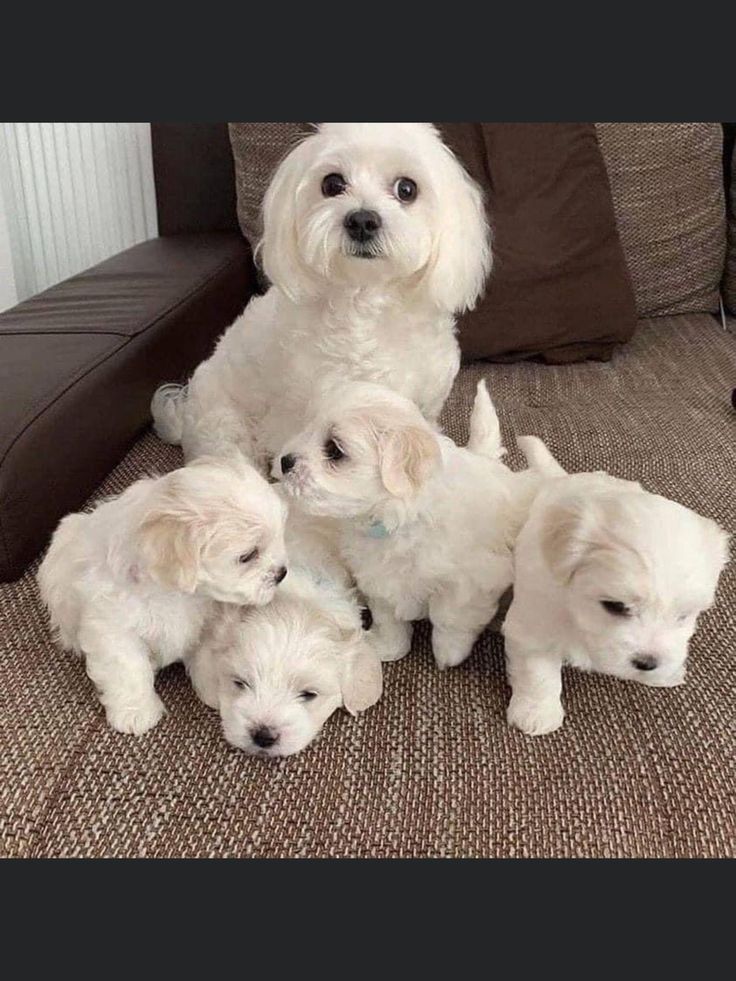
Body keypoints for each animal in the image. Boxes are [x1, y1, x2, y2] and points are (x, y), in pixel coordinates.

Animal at [36, 456, 288, 732]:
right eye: (247, 556)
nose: (282, 573)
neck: (176, 592)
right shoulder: (113, 628)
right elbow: (127, 668)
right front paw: (135, 712)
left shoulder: (209, 622)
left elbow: (207, 657)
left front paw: (216, 691)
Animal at [152, 121, 492, 468]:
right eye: (332, 184)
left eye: (407, 189)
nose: (362, 220)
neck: (368, 305)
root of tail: (185, 418)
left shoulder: (422, 406)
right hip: (225, 427)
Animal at [274, 378, 548, 668]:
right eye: (307, 428)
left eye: (334, 450)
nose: (285, 461)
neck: (394, 523)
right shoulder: (377, 578)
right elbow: (387, 617)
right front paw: (388, 647)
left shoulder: (473, 580)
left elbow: (449, 616)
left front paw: (448, 653)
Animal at [500, 438, 732, 736]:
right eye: (616, 606)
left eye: (683, 616)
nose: (648, 663)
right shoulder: (535, 621)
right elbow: (537, 670)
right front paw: (537, 712)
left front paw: (665, 674)